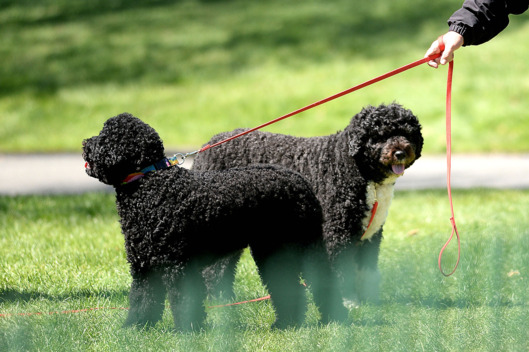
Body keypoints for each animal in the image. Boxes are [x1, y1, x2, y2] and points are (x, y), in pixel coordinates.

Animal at [81, 113, 346, 330]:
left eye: (104, 136)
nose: (85, 144)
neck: (150, 183)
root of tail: (300, 180)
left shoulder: (179, 265)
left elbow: (184, 300)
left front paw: (188, 331)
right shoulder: (144, 267)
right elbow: (141, 299)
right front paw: (135, 328)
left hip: (300, 246)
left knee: (319, 281)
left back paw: (332, 319)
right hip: (273, 251)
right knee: (289, 286)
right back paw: (288, 323)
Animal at [192, 102, 422, 308]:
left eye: (407, 133)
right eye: (380, 135)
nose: (400, 153)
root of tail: (204, 148)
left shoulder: (371, 234)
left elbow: (367, 271)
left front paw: (368, 301)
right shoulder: (337, 232)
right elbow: (342, 270)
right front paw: (347, 300)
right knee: (213, 269)